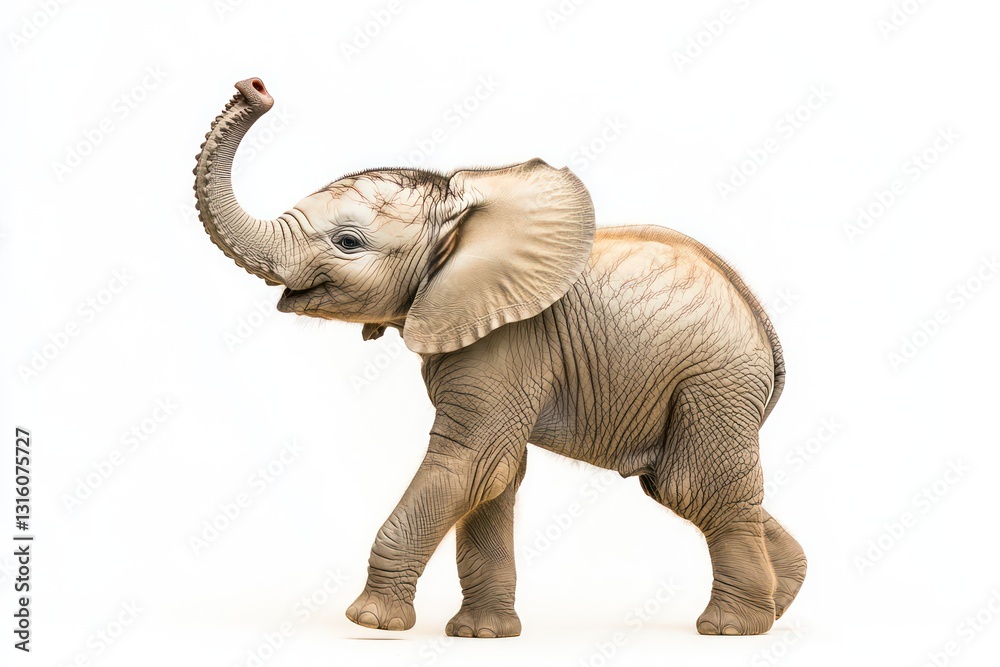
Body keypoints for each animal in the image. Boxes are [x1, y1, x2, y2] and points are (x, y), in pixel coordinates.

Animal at [193, 78, 807, 638]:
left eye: (348, 242)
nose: (256, 86)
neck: (461, 215)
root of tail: (764, 327)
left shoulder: (509, 340)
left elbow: (471, 464)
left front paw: (371, 623)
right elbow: (497, 475)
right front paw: (481, 635)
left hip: (716, 381)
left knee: (695, 487)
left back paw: (731, 629)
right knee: (692, 488)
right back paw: (780, 607)